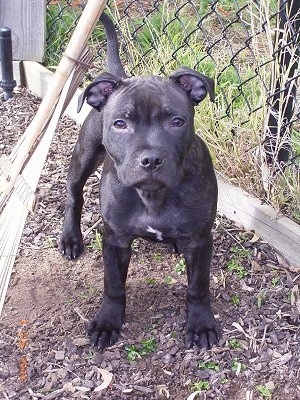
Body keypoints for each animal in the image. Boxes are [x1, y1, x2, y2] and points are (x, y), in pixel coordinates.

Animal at [61, 12, 220, 350]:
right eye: (120, 124)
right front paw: (108, 322)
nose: (150, 160)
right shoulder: (115, 239)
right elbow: (113, 285)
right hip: (84, 156)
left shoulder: (201, 240)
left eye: (177, 121)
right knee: (73, 195)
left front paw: (200, 323)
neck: (152, 195)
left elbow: (198, 286)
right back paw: (70, 238)